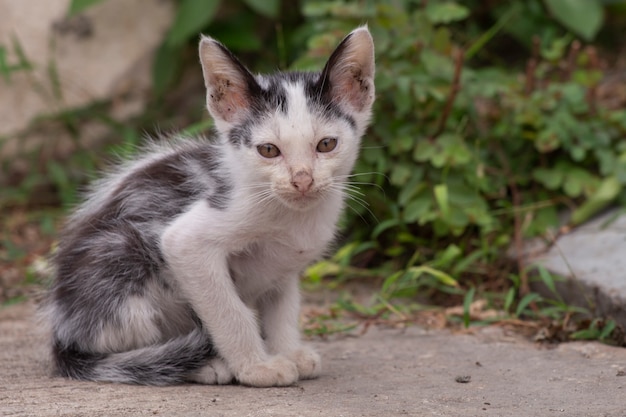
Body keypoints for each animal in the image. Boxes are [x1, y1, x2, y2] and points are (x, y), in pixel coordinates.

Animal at [42, 26, 376, 386]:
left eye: (326, 144)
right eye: (268, 150)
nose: (302, 180)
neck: (292, 217)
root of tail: (62, 328)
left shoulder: (284, 265)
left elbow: (283, 309)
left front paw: (287, 350)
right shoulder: (189, 240)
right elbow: (229, 312)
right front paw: (256, 367)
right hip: (122, 263)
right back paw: (199, 365)